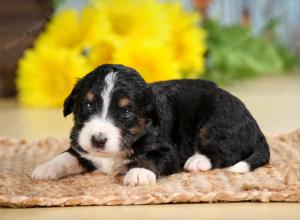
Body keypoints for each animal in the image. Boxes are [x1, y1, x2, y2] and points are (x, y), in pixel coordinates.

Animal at [31, 63, 270, 186]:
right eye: (87, 106)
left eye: (126, 111)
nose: (98, 140)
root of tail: (257, 128)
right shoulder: (81, 147)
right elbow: (66, 156)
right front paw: (46, 168)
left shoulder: (169, 150)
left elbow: (150, 158)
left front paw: (138, 173)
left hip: (215, 122)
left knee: (228, 153)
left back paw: (198, 161)